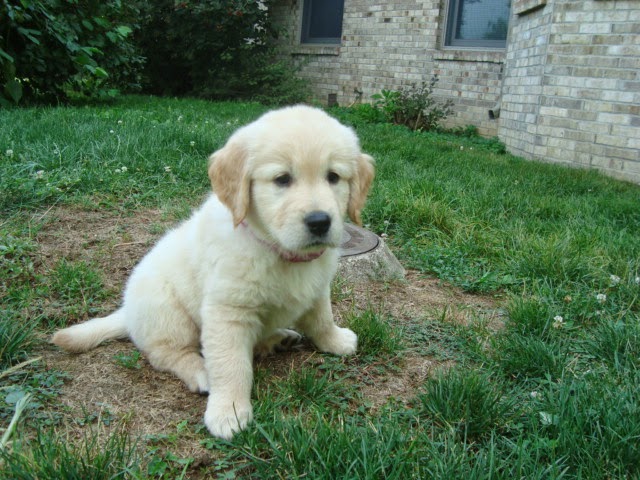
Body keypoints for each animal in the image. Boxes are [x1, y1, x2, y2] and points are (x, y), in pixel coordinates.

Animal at [51, 105, 375, 439]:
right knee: (167, 354)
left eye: (333, 177)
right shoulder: (227, 311)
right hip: (169, 315)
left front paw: (335, 340)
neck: (278, 251)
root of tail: (126, 313)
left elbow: (322, 318)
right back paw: (200, 370)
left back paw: (277, 339)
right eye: (282, 179)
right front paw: (229, 412)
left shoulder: (317, 288)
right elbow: (232, 364)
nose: (320, 222)